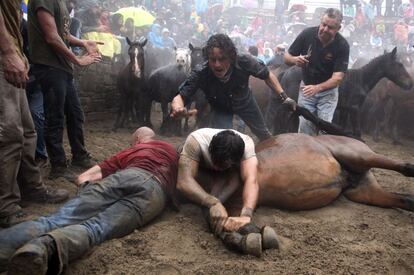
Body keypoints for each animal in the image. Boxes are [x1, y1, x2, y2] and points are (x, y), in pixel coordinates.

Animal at [266, 48, 414, 138]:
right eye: (400, 64)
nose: (409, 83)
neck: (360, 79)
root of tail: (286, 72)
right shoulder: (354, 109)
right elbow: (357, 132)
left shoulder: (344, 110)